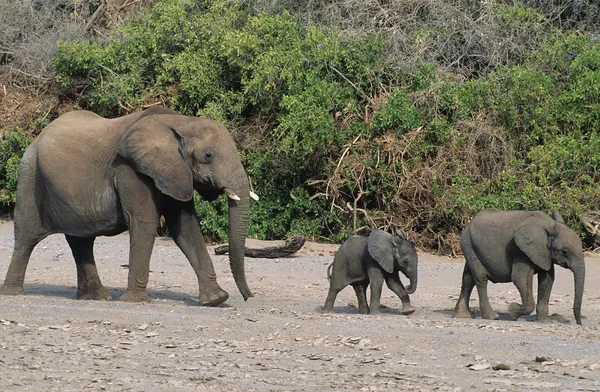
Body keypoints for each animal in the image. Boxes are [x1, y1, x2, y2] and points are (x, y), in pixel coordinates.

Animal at [0, 106, 255, 306]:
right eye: (208, 155)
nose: (248, 297)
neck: (181, 122)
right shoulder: (130, 170)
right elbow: (145, 221)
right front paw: (135, 301)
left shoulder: (174, 172)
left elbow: (186, 227)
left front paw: (216, 300)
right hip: (30, 175)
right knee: (27, 237)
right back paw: (13, 294)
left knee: (81, 241)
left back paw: (97, 298)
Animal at [452, 210, 584, 326]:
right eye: (565, 252)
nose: (579, 323)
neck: (549, 224)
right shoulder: (520, 250)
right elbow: (520, 279)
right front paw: (512, 312)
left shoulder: (545, 253)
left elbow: (547, 280)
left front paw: (545, 322)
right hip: (468, 243)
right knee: (481, 278)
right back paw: (492, 317)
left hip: (470, 246)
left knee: (468, 278)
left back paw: (462, 316)